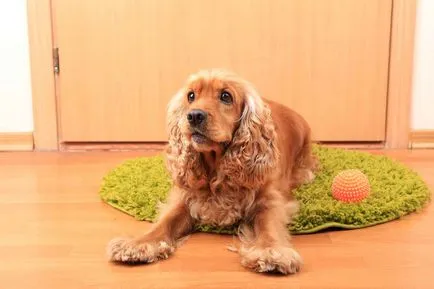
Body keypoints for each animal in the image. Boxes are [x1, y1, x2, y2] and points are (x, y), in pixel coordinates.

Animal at [107, 68, 318, 274]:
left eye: (226, 96)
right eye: (191, 96)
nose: (194, 116)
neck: (217, 168)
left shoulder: (270, 198)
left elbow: (269, 224)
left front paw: (271, 251)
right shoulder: (183, 198)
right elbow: (164, 222)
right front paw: (138, 244)